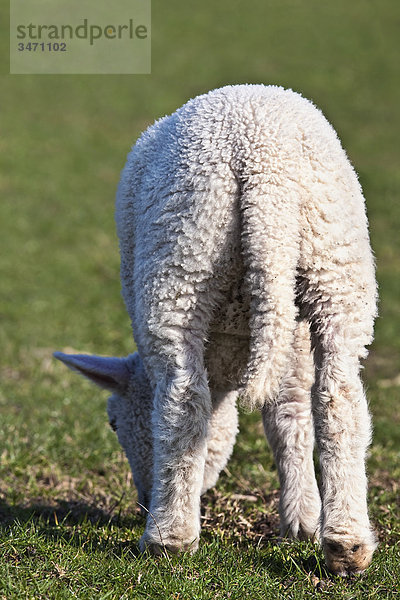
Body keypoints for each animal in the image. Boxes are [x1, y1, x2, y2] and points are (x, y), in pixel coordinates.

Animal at [54, 84, 378, 576]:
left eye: (113, 423)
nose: (142, 503)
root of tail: (262, 164)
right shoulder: (289, 335)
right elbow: (290, 413)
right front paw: (303, 520)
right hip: (335, 259)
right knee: (338, 397)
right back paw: (347, 543)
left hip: (182, 254)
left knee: (182, 401)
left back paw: (169, 537)